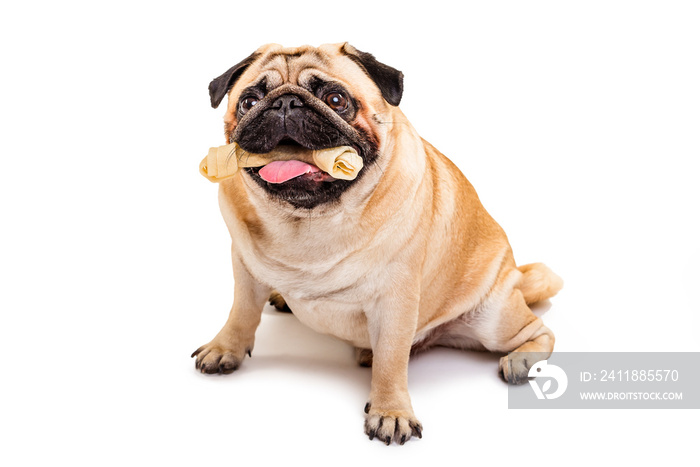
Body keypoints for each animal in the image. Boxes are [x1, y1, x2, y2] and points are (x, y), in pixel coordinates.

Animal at [191, 44, 564, 446]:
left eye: (336, 100)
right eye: (249, 101)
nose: (285, 103)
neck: (308, 221)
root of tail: (514, 275)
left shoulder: (395, 301)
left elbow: (391, 362)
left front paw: (391, 411)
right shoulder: (245, 267)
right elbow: (241, 313)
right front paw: (224, 348)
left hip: (493, 319)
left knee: (539, 331)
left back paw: (521, 360)